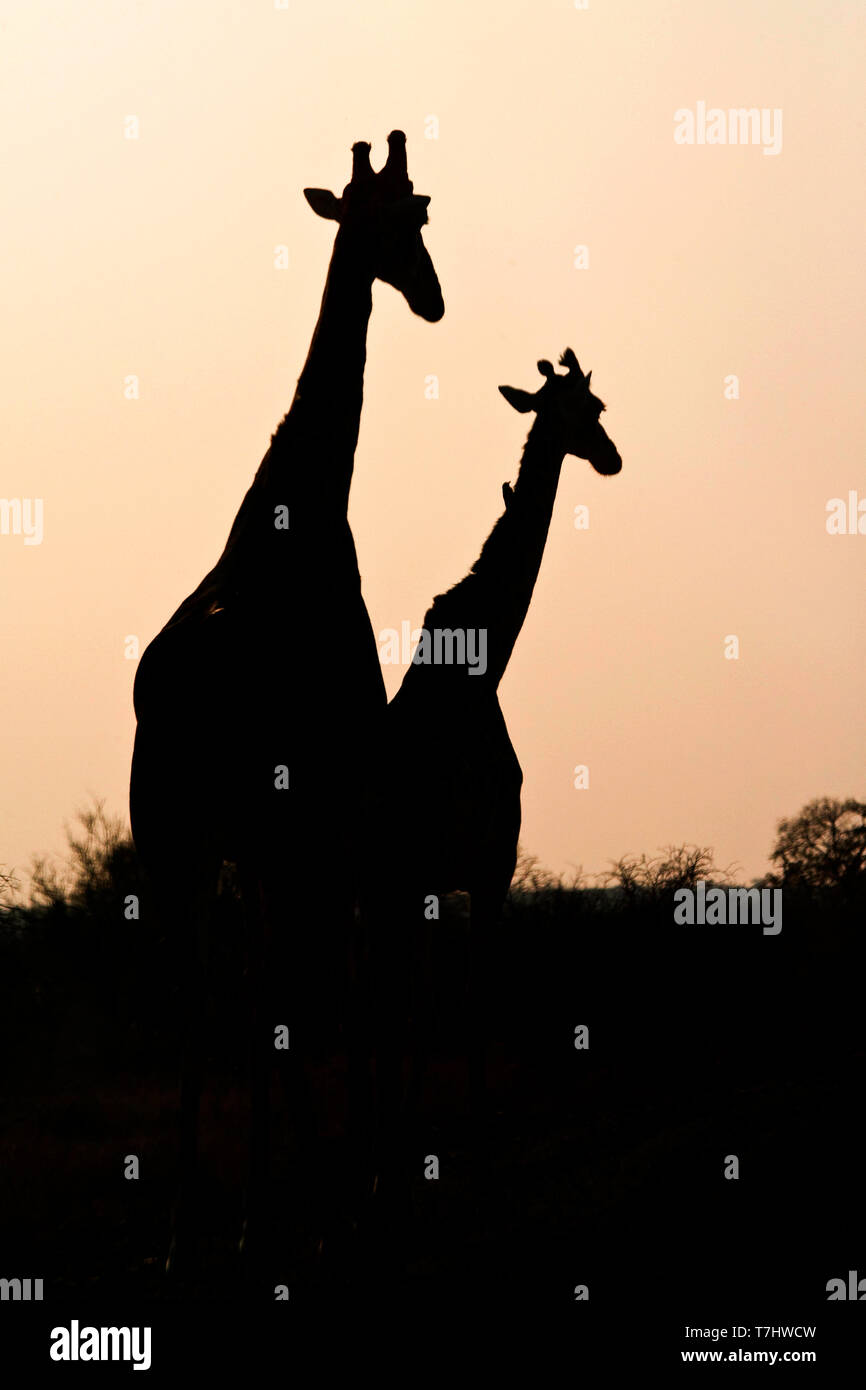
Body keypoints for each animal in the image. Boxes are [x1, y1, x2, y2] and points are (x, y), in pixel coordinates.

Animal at [129, 131, 444, 1275]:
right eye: (390, 217)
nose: (432, 297)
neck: (305, 503)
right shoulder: (337, 793)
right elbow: (342, 979)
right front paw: (349, 1204)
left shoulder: (278, 823)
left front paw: (287, 1210)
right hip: (250, 822)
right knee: (265, 984)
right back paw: (283, 1218)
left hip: (177, 826)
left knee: (197, 984)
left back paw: (193, 1229)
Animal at [366, 350, 621, 1220]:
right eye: (581, 411)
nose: (613, 457)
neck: (481, 670)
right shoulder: (484, 865)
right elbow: (461, 997)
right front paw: (465, 1139)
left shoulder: (451, 875)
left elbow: (439, 999)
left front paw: (424, 1138)